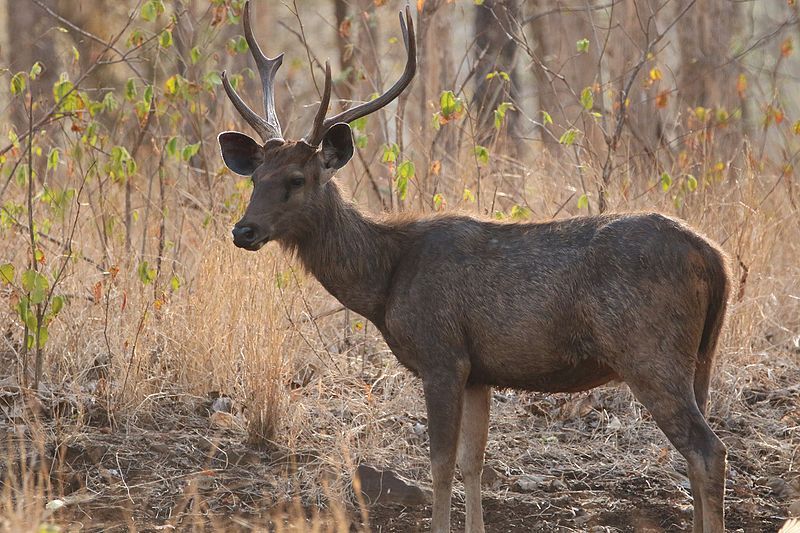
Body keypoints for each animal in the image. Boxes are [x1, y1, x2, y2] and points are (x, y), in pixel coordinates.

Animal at [219, 2, 732, 528]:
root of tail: (715, 259)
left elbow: (441, 463)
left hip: (649, 351)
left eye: (296, 179)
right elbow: (473, 462)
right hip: (701, 356)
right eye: (256, 177)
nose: (244, 231)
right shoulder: (479, 371)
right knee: (697, 450)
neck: (385, 282)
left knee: (708, 450)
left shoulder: (443, 354)